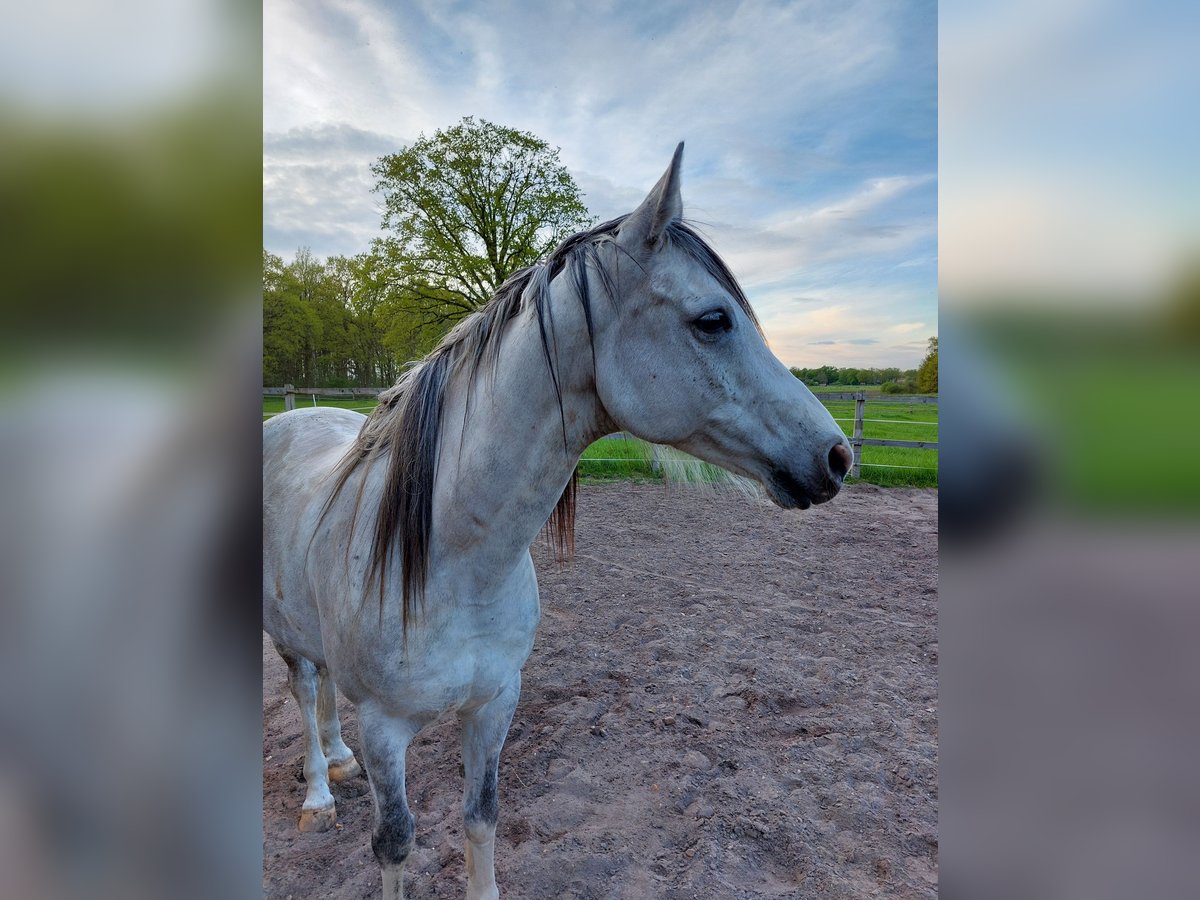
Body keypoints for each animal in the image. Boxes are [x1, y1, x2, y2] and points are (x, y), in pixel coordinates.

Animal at [262, 144, 854, 897]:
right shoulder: (387, 729)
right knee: (306, 692)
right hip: (286, 640)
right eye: (714, 320)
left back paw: (339, 760)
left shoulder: (495, 704)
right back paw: (318, 791)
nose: (836, 455)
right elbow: (395, 844)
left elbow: (480, 819)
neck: (453, 561)